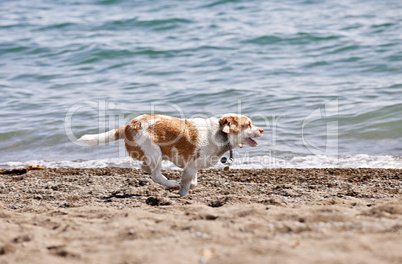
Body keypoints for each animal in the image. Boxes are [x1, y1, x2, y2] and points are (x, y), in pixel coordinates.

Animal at [78, 113, 264, 196]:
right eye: (248, 124)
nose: (262, 130)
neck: (220, 134)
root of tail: (129, 126)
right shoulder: (190, 168)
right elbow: (186, 185)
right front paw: (182, 194)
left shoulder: (192, 167)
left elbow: (193, 183)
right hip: (155, 153)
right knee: (155, 175)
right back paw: (170, 183)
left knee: (145, 167)